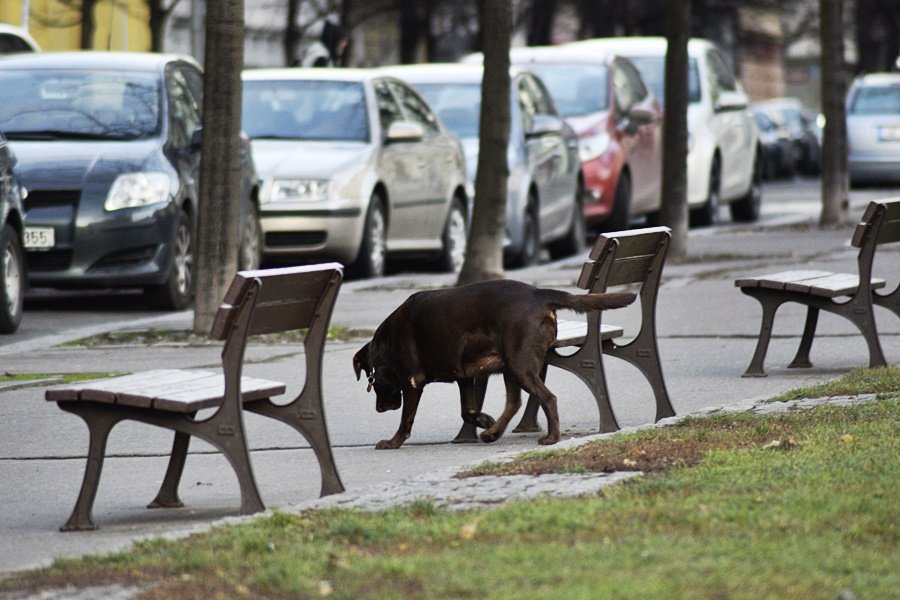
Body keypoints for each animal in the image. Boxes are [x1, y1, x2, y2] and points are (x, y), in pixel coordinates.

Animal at [352, 278, 632, 448]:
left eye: (373, 382)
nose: (379, 408)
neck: (385, 344)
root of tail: (539, 293)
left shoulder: (412, 381)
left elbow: (406, 420)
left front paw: (393, 442)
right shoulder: (463, 376)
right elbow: (467, 411)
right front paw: (484, 421)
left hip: (519, 363)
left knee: (548, 398)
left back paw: (551, 438)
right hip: (510, 365)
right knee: (514, 402)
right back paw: (492, 432)